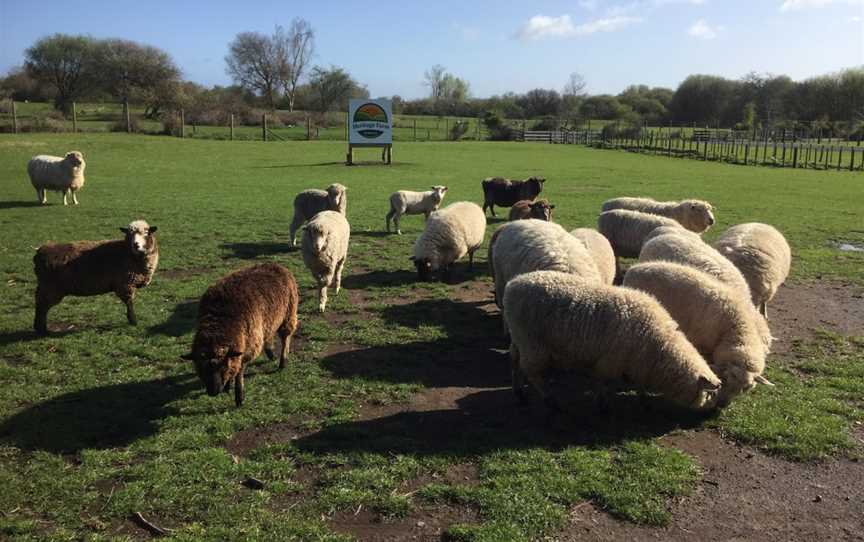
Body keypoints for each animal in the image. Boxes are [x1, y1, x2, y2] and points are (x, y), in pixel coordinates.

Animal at [32, 221, 160, 336]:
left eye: (146, 232)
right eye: (129, 234)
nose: (136, 244)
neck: (126, 252)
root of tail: (40, 251)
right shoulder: (125, 284)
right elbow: (129, 303)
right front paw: (133, 321)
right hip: (50, 288)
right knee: (41, 306)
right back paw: (42, 329)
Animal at [181, 264, 298, 408]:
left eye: (223, 367)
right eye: (200, 368)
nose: (213, 392)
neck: (221, 320)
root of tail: (275, 265)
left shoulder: (248, 347)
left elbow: (239, 371)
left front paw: (239, 396)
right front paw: (228, 386)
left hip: (289, 314)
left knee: (285, 338)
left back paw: (282, 362)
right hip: (268, 321)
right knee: (268, 335)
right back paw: (271, 354)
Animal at [502, 270, 720, 414]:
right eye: (710, 394)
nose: (713, 411)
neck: (659, 344)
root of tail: (512, 284)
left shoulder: (636, 361)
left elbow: (638, 382)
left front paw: (643, 399)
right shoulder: (611, 360)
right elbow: (604, 381)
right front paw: (603, 403)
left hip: (519, 336)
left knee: (513, 360)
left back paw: (518, 392)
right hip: (532, 342)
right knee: (532, 372)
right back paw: (550, 399)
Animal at [620, 262, 776, 408]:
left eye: (745, 389)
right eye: (726, 379)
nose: (722, 405)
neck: (735, 327)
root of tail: (634, 268)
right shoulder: (702, 344)